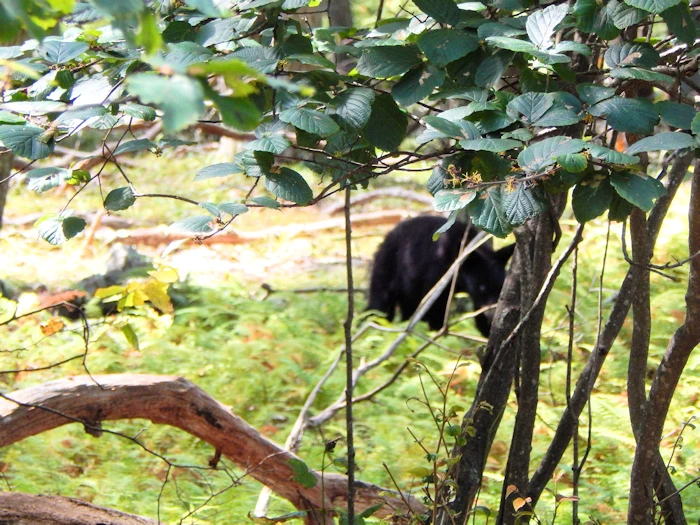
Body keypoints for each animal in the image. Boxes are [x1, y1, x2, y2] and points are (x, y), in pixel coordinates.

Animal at [370, 214, 516, 334]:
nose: (492, 315)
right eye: (482, 287)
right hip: (388, 267)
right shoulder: (437, 274)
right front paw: (436, 330)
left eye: (500, 287)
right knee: (380, 303)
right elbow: (435, 308)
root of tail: (388, 235)